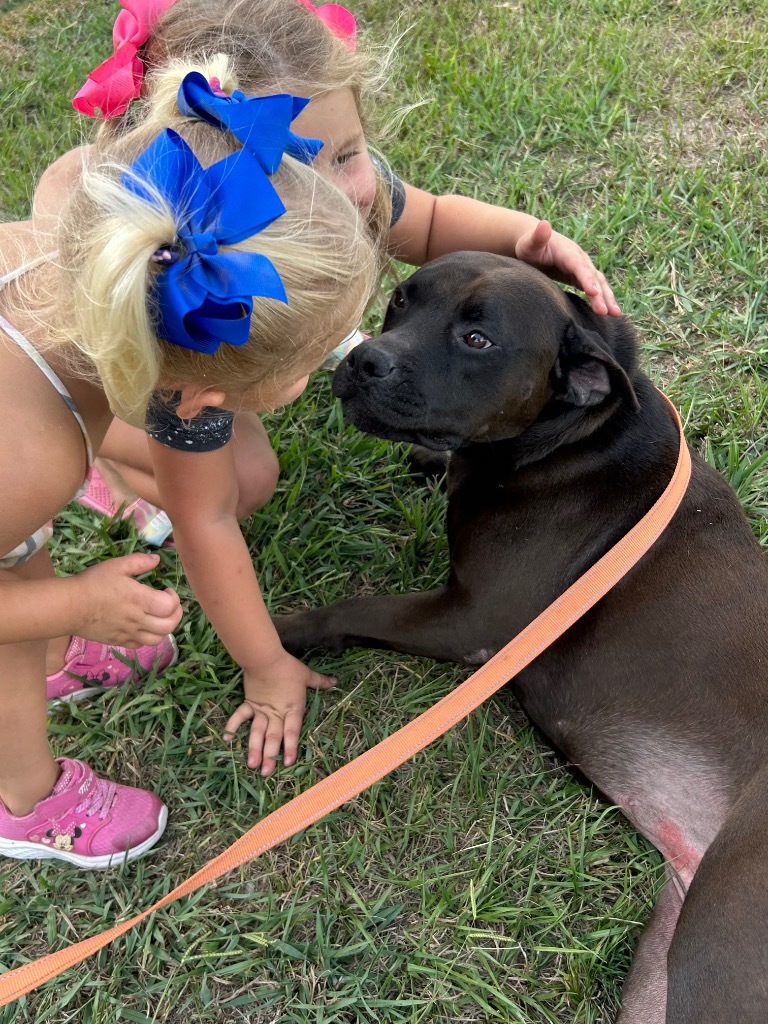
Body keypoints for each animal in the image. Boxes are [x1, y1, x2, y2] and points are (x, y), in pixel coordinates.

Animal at [278, 249, 768, 1024]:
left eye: (478, 340)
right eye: (401, 301)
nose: (363, 361)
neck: (578, 436)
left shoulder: (469, 622)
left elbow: (354, 607)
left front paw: (280, 634)